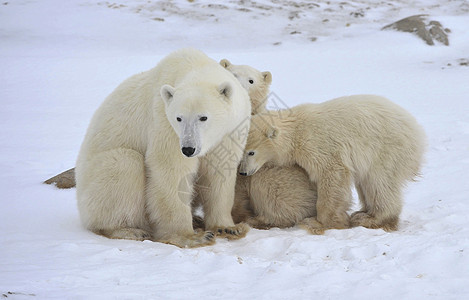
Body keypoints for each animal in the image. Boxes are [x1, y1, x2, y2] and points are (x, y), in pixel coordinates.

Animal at [76, 48, 252, 247]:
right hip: (93, 184)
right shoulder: (165, 123)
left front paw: (228, 228)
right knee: (124, 164)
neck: (195, 66)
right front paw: (191, 237)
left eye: (203, 117)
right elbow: (172, 170)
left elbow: (220, 171)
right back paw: (129, 230)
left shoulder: (230, 130)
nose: (188, 149)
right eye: (179, 118)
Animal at [239, 95, 426, 233]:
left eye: (251, 152)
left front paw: (318, 222)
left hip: (387, 149)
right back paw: (362, 212)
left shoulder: (318, 144)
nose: (243, 172)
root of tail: (417, 131)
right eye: (241, 152)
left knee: (379, 182)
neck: (296, 130)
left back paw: (372, 218)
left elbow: (332, 174)